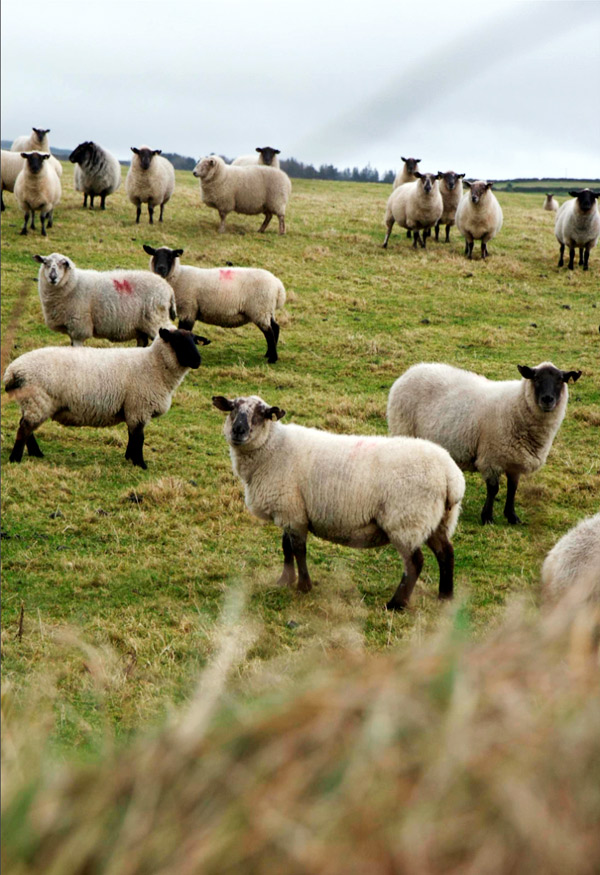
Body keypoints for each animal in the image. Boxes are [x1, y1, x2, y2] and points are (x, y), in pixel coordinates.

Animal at [3, 328, 210, 468]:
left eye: (195, 341)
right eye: (178, 341)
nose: (198, 360)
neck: (155, 365)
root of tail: (13, 371)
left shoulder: (132, 409)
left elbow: (132, 435)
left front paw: (129, 458)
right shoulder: (139, 407)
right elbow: (139, 437)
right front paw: (140, 463)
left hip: (32, 403)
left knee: (26, 426)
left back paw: (36, 454)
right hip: (38, 401)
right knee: (24, 428)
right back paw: (15, 459)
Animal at [34, 252, 176, 348]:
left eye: (63, 264)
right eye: (45, 263)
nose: (53, 277)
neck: (74, 283)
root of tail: (168, 289)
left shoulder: (79, 327)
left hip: (156, 318)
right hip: (142, 325)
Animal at [145, 243, 286, 362]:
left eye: (170, 256)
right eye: (155, 255)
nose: (161, 268)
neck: (178, 275)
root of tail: (278, 285)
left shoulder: (188, 309)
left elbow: (185, 330)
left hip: (260, 309)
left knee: (269, 332)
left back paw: (272, 358)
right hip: (267, 310)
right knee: (275, 327)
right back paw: (268, 353)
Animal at [213, 394, 466, 612]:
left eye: (262, 413)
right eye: (233, 408)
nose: (238, 430)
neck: (272, 449)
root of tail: (451, 476)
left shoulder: (292, 511)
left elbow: (298, 550)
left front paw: (303, 586)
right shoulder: (289, 509)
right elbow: (286, 548)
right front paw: (285, 580)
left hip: (407, 520)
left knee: (415, 563)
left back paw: (396, 604)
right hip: (435, 520)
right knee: (446, 553)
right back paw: (445, 596)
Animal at [390, 362, 580, 528]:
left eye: (560, 380)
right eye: (536, 378)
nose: (547, 399)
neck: (517, 405)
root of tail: (411, 370)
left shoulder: (514, 461)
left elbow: (512, 488)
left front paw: (512, 516)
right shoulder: (491, 457)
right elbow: (493, 489)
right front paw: (487, 517)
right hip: (403, 430)